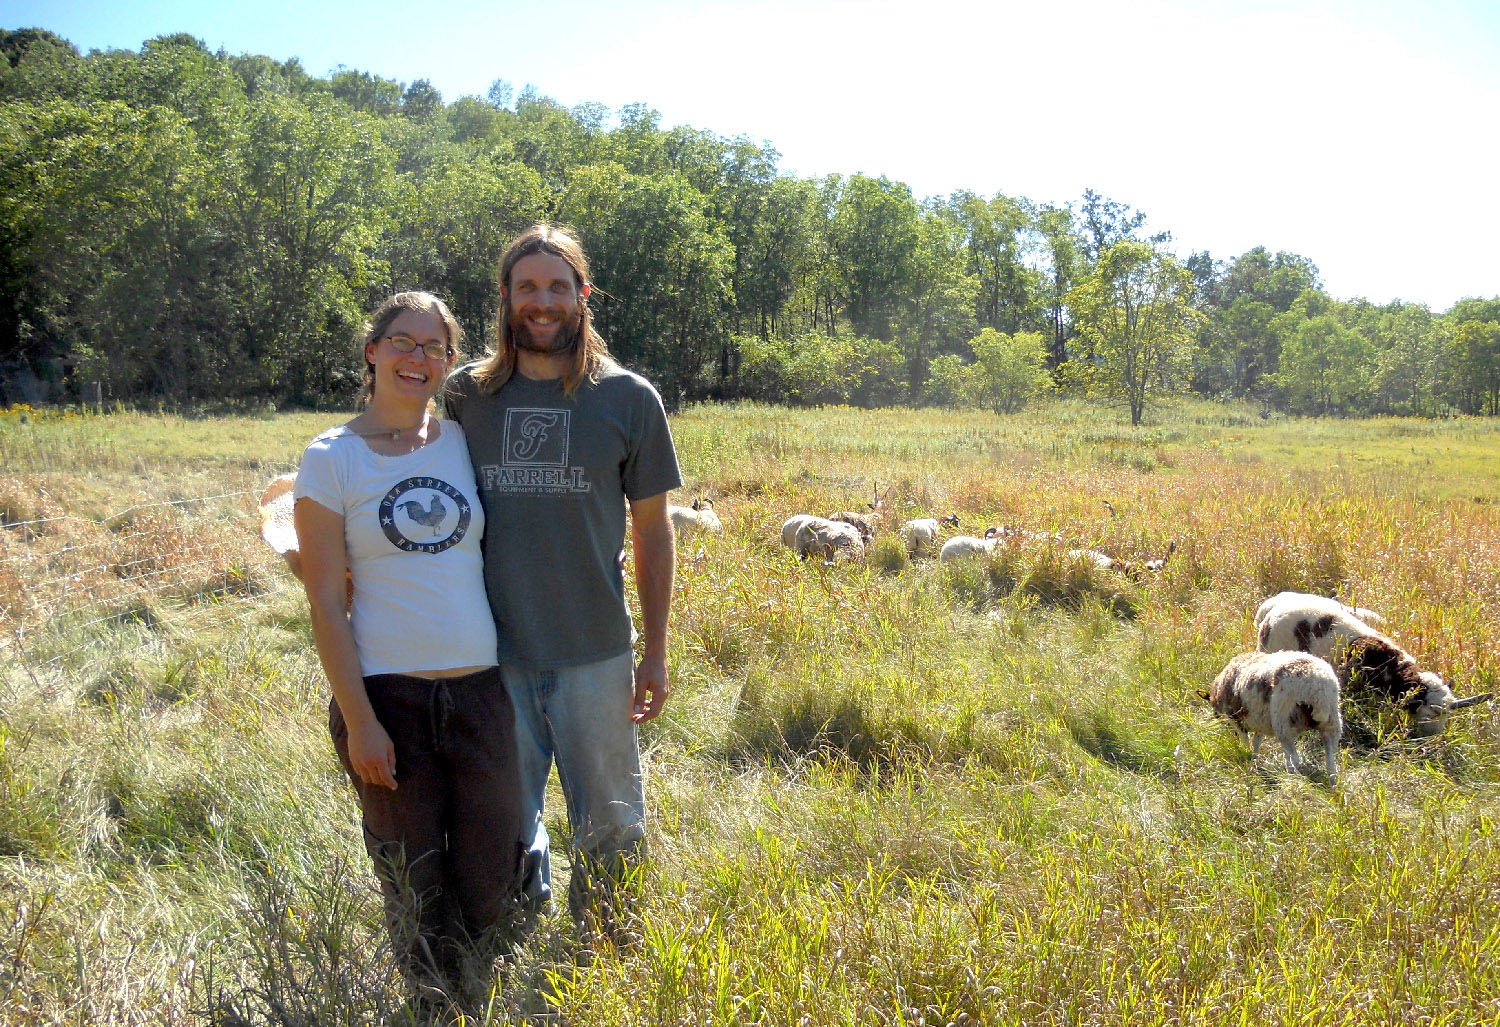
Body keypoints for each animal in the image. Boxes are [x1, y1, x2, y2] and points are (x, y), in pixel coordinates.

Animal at [1200, 653, 1344, 779]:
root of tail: (1316, 685)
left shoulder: (1236, 719)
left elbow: (1246, 743)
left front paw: (1247, 758)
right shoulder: (1259, 723)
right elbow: (1256, 743)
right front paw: (1254, 762)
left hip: (1283, 722)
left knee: (1295, 759)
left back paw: (1293, 778)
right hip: (1331, 722)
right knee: (1331, 765)